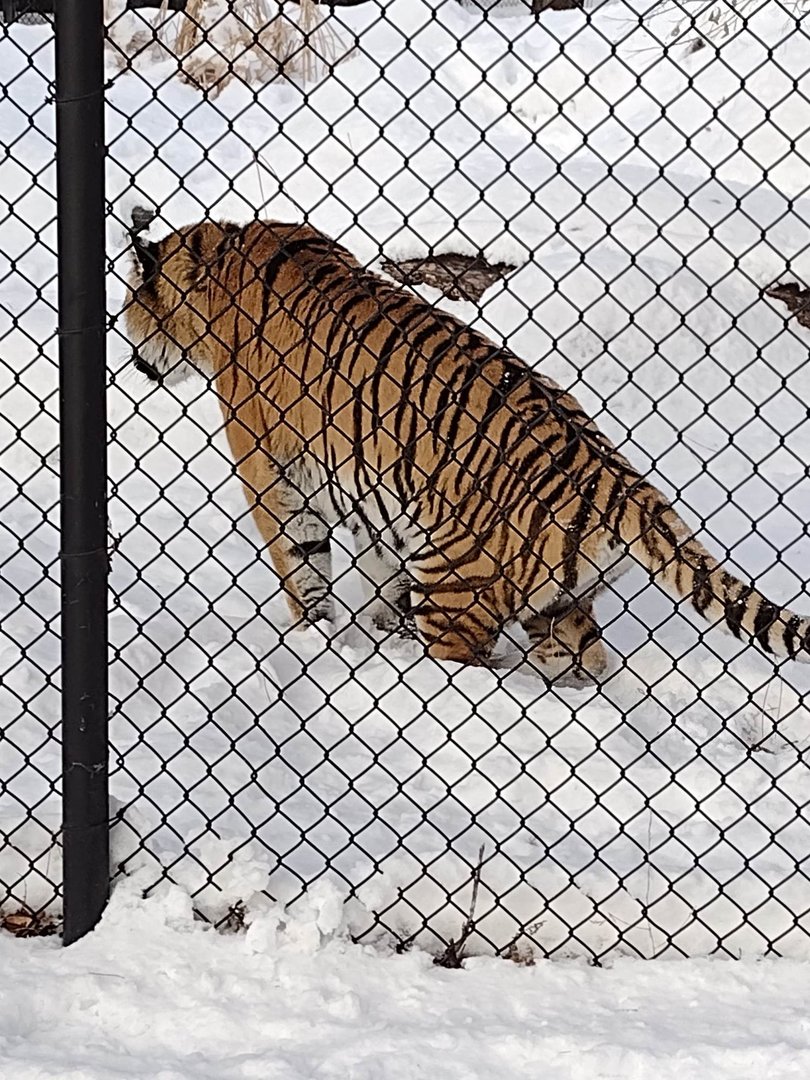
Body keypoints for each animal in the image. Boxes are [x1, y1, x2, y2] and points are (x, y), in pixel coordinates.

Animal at [123, 207, 810, 683]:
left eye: (129, 302)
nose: (133, 361)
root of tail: (610, 475)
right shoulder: (376, 493)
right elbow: (376, 565)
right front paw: (374, 626)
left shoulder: (273, 470)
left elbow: (301, 564)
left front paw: (314, 639)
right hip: (557, 607)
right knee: (587, 665)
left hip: (453, 589)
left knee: (469, 667)